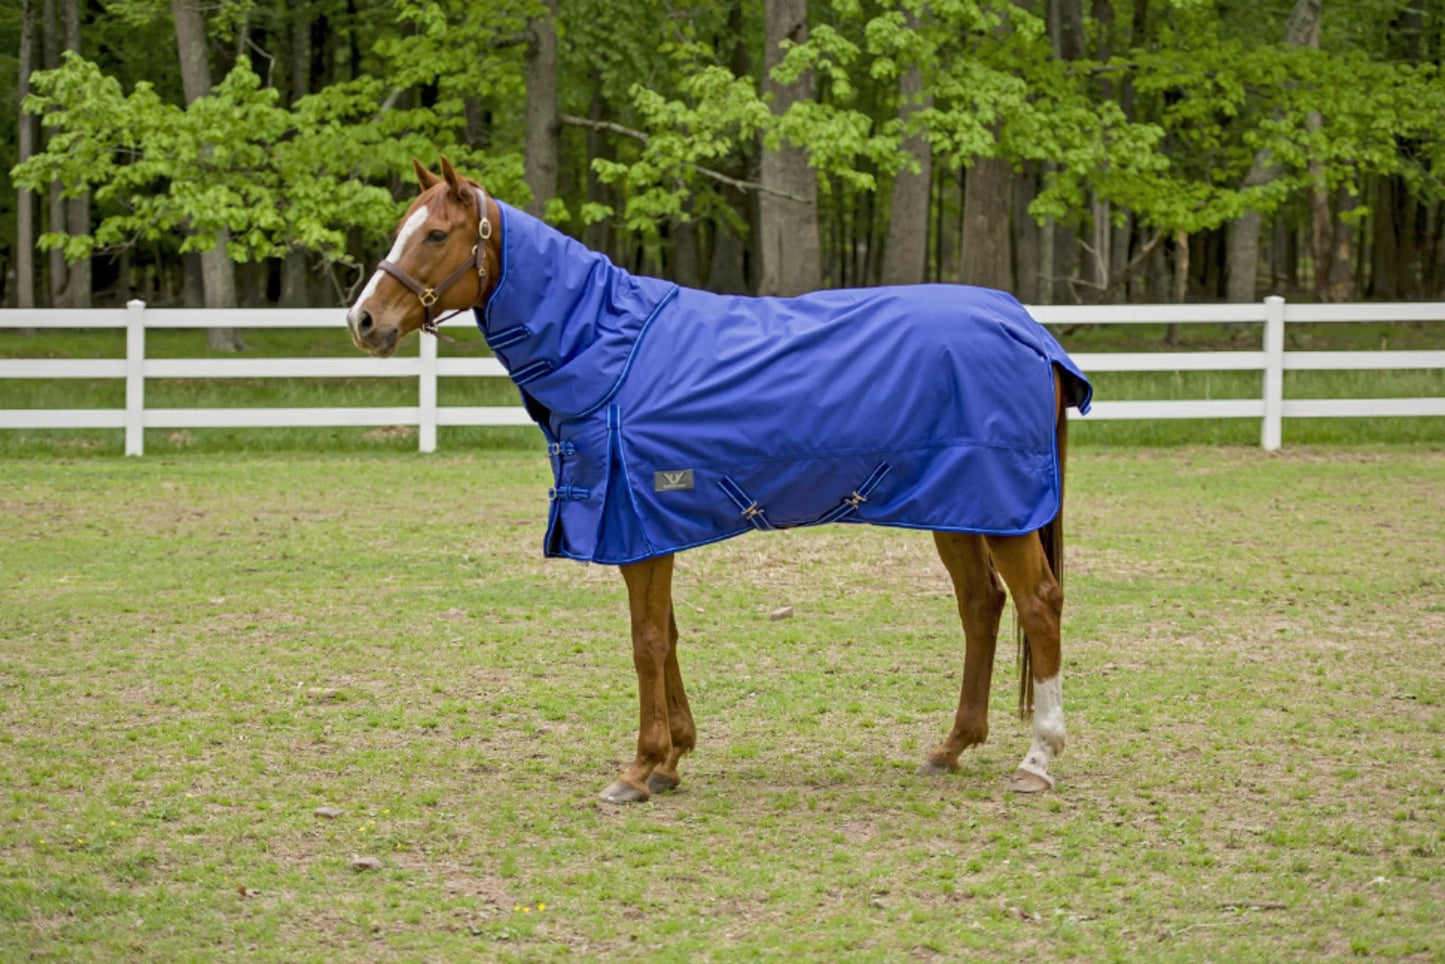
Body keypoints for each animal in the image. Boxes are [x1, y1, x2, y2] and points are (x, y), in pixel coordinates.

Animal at [347, 157, 1093, 804]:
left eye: (436, 234)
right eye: (404, 227)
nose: (363, 320)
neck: (608, 349)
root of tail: (1028, 329)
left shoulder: (636, 523)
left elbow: (646, 641)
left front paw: (639, 768)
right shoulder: (649, 531)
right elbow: (667, 635)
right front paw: (672, 758)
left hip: (1002, 510)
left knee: (1038, 604)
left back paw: (1037, 759)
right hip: (961, 507)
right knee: (981, 606)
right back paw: (951, 746)